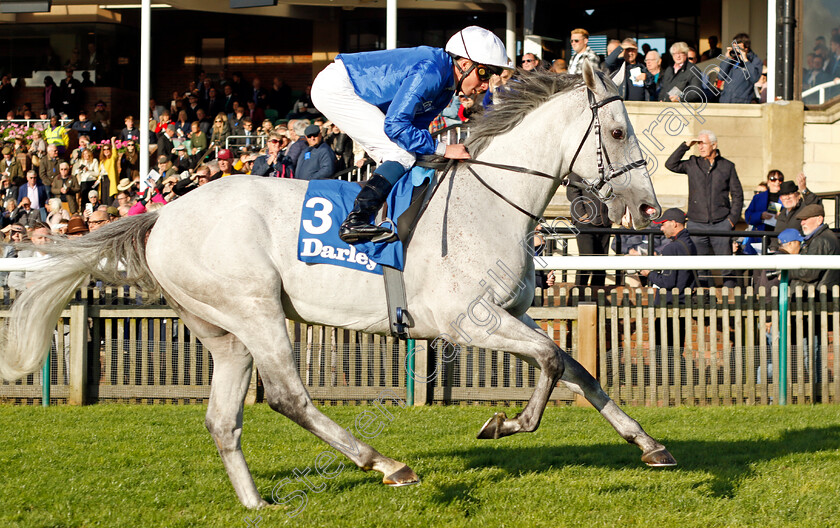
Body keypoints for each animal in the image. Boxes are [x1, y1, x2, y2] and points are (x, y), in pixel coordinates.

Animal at [0, 60, 676, 508]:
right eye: (618, 132)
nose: (648, 210)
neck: (491, 202)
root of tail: (163, 214)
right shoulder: (466, 321)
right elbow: (552, 363)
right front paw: (505, 424)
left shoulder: (514, 313)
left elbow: (575, 366)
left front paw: (649, 445)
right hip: (257, 310)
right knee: (288, 397)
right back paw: (387, 465)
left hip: (221, 329)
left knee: (223, 418)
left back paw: (255, 504)